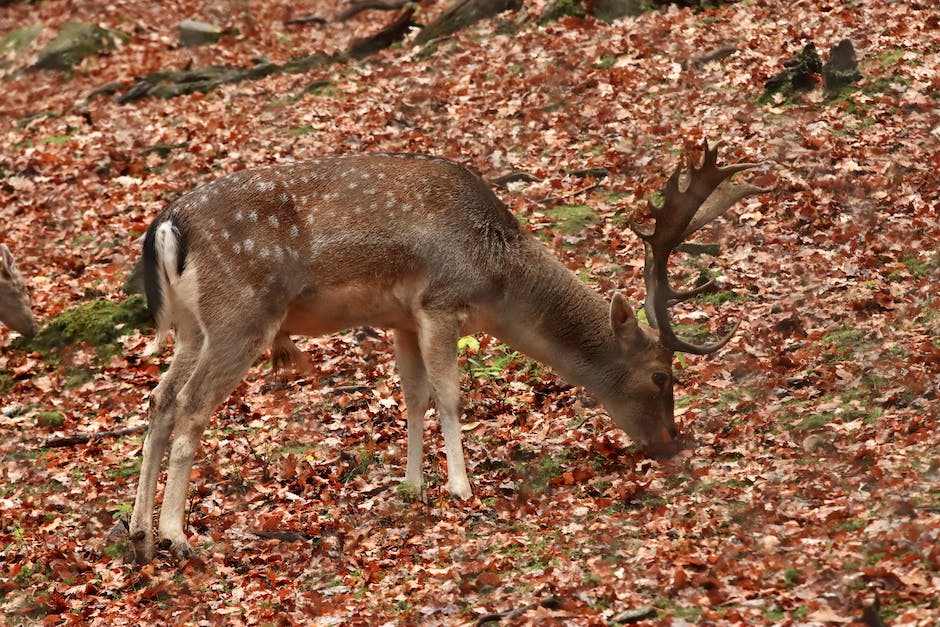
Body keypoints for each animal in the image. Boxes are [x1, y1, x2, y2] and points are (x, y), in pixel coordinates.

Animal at [129, 142, 768, 564]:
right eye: (660, 376)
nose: (670, 442)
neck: (496, 278)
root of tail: (167, 226)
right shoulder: (440, 300)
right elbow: (449, 396)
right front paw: (462, 487)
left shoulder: (401, 316)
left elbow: (412, 397)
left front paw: (413, 485)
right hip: (241, 315)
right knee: (190, 405)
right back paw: (178, 536)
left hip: (192, 327)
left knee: (159, 400)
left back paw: (138, 530)